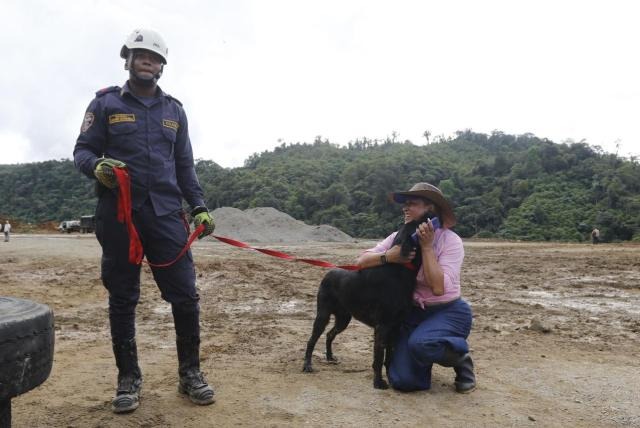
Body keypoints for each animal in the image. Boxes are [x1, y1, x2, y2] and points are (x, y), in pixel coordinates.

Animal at [300, 214, 430, 388]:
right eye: (419, 222)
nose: (430, 213)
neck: (399, 271)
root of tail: (328, 273)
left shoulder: (395, 326)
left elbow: (389, 356)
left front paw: (389, 376)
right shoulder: (383, 326)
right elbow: (379, 357)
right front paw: (378, 382)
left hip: (343, 319)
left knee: (329, 334)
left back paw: (330, 357)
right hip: (323, 315)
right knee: (312, 340)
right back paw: (307, 365)